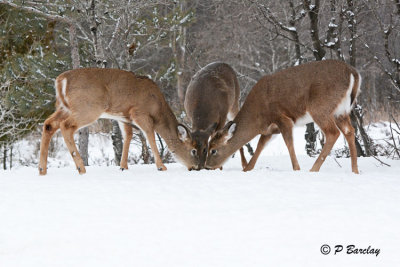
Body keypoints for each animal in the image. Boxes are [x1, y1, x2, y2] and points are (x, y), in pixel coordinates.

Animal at [38, 68, 198, 176]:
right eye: (193, 150)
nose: (196, 167)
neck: (158, 110)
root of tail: (61, 80)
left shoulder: (123, 117)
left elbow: (128, 136)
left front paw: (123, 166)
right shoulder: (139, 113)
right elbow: (150, 135)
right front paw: (161, 166)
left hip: (64, 107)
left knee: (49, 124)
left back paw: (42, 169)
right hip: (88, 108)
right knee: (66, 125)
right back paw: (81, 168)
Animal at [206, 59, 362, 175]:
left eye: (213, 150)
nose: (207, 166)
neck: (257, 118)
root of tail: (353, 72)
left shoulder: (281, 118)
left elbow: (289, 143)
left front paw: (297, 169)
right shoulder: (270, 129)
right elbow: (259, 146)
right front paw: (247, 169)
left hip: (320, 107)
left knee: (333, 133)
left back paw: (313, 169)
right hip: (341, 111)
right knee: (350, 131)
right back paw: (355, 171)